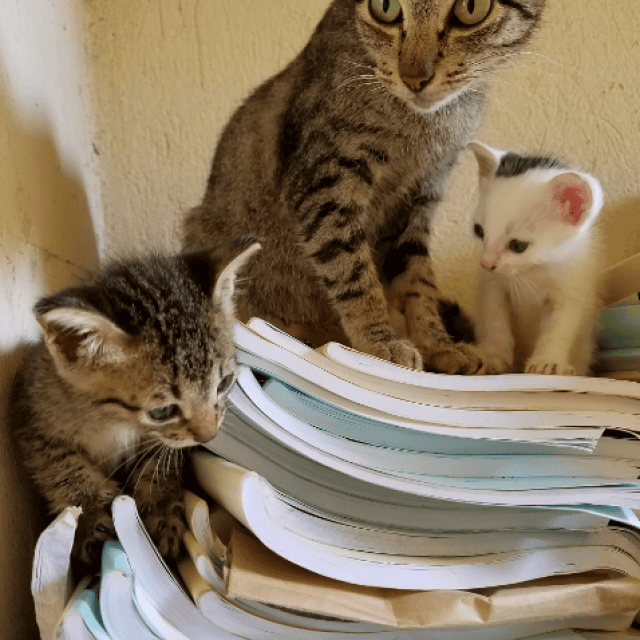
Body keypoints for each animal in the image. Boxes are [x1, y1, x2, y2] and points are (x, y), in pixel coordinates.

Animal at [10, 240, 260, 564]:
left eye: (224, 383)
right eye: (162, 411)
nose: (208, 436)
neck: (113, 421)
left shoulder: (161, 441)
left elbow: (159, 463)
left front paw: (162, 510)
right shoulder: (32, 417)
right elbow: (62, 470)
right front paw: (92, 517)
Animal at [183, 0, 546, 374]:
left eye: (471, 8)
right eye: (385, 7)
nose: (414, 76)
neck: (425, 128)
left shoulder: (419, 200)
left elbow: (419, 281)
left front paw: (437, 343)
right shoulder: (326, 185)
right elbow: (352, 271)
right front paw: (377, 344)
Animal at [469, 141, 604, 376]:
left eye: (518, 246)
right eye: (479, 231)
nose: (486, 263)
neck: (532, 270)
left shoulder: (573, 290)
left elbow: (559, 328)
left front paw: (547, 361)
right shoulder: (491, 285)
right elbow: (494, 317)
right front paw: (494, 354)